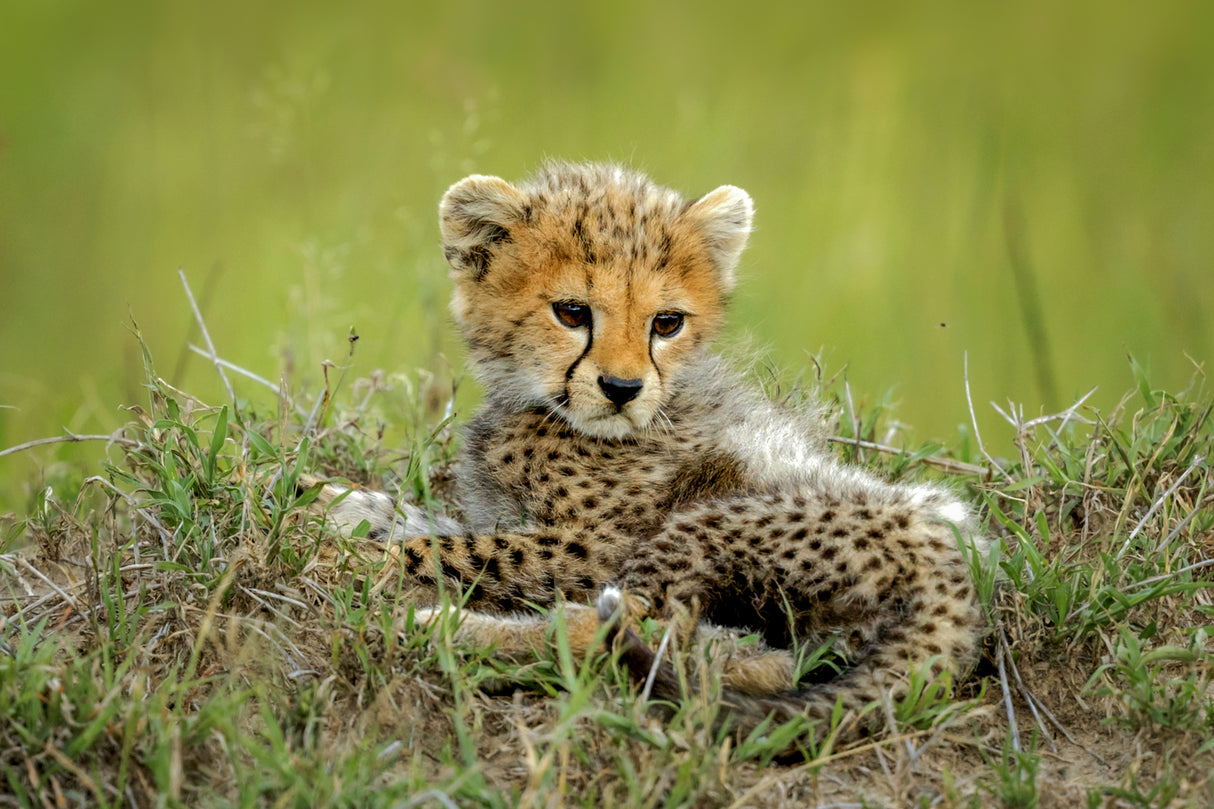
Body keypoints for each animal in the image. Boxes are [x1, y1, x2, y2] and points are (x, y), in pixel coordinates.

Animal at [309, 161, 987, 741]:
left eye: (667, 323)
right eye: (572, 312)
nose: (622, 388)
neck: (543, 409)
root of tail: (965, 574)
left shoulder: (597, 545)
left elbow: (459, 549)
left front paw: (348, 556)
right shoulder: (513, 514)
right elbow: (435, 522)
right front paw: (337, 503)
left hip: (712, 522)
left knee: (645, 631)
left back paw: (452, 630)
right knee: (744, 657)